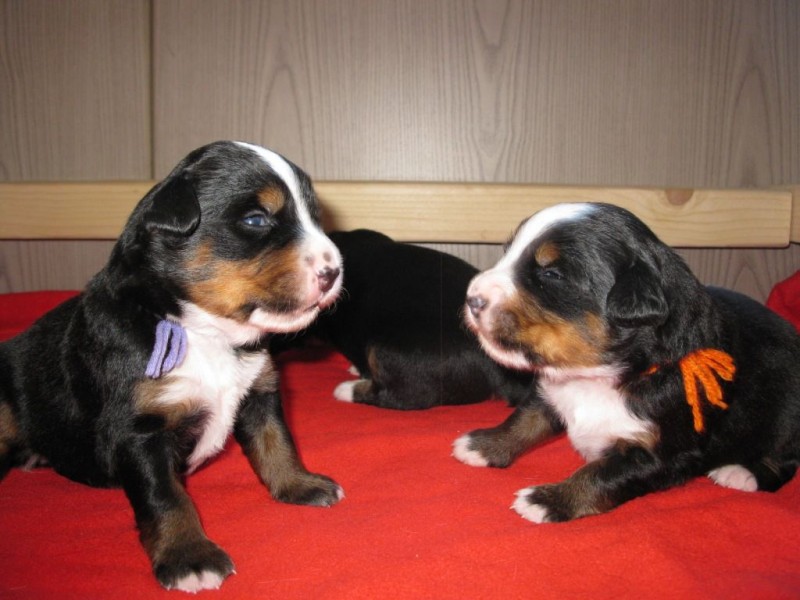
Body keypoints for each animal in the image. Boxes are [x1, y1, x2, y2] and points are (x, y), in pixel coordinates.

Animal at [0, 141, 344, 591]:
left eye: (315, 217)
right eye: (256, 219)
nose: (334, 270)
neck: (207, 332)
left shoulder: (259, 391)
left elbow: (277, 443)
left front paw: (300, 484)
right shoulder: (140, 428)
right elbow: (166, 498)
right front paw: (189, 558)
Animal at [453, 202, 800, 523]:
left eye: (551, 274)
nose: (471, 298)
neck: (592, 377)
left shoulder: (659, 454)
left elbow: (600, 475)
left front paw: (549, 500)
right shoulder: (550, 391)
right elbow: (525, 419)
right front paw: (484, 445)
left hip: (786, 419)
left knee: (786, 461)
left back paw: (741, 472)